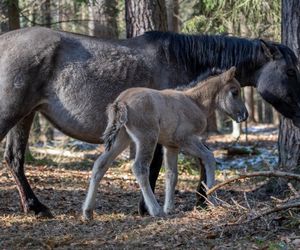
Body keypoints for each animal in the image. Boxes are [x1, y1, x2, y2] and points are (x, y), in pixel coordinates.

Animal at [83, 67, 247, 219]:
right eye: (234, 92)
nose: (245, 115)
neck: (195, 102)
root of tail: (121, 101)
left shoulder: (171, 145)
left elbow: (172, 175)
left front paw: (169, 208)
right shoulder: (185, 139)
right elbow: (209, 156)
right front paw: (212, 199)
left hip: (122, 138)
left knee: (100, 164)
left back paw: (87, 212)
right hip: (147, 138)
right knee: (139, 167)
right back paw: (156, 210)